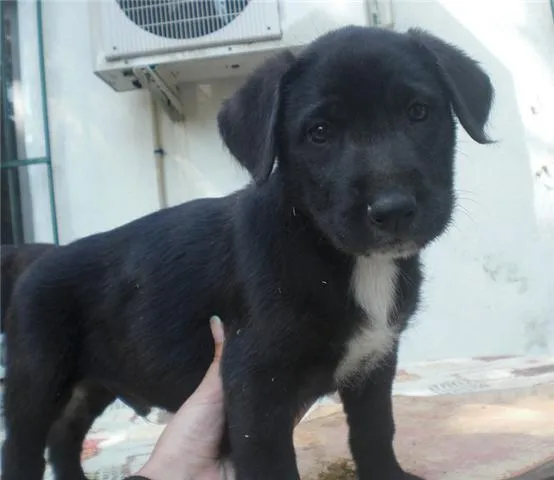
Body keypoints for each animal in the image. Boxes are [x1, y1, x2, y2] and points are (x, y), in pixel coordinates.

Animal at [2, 26, 490, 480]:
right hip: (36, 378)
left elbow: (374, 433)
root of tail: (40, 257)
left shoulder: (374, 360)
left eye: (418, 112)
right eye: (319, 133)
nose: (392, 210)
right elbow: (271, 465)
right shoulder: (255, 385)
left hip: (92, 384)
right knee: (24, 445)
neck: (336, 255)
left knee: (64, 438)